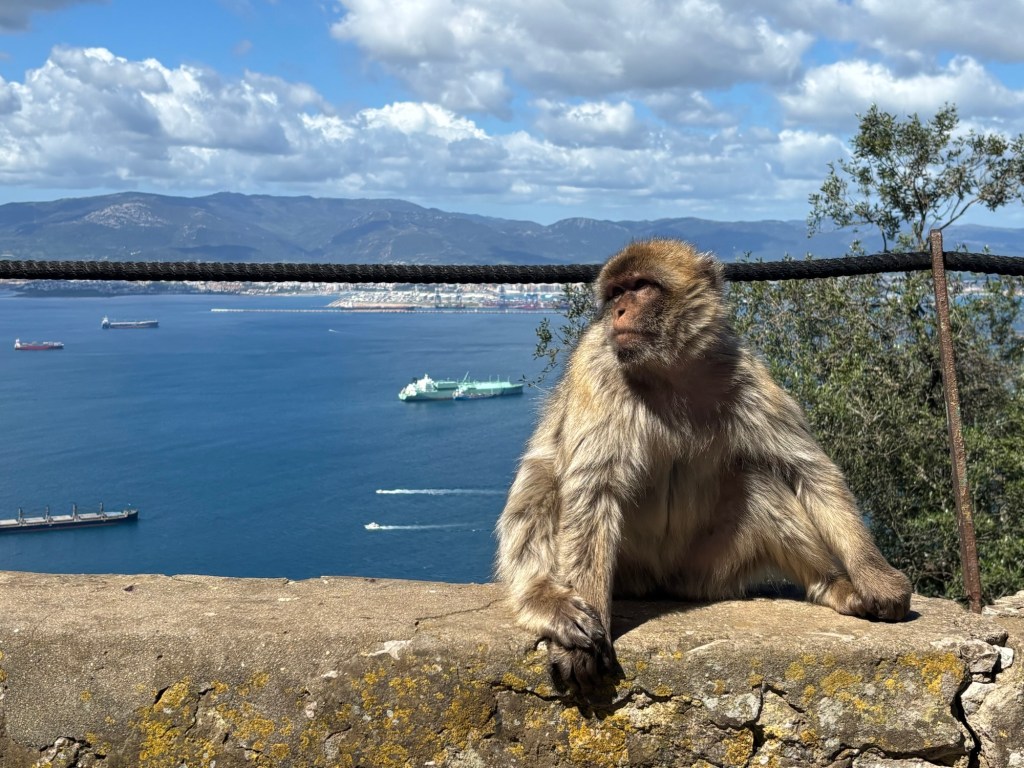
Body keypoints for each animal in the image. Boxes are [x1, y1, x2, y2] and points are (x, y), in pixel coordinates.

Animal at [496, 239, 912, 693]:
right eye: (616, 292)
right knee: (540, 481)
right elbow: (593, 490)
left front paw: (874, 577)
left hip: (707, 570)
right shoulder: (598, 365)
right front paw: (575, 643)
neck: (668, 370)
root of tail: (660, 582)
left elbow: (808, 469)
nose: (618, 311)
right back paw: (544, 598)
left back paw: (831, 587)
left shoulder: (742, 370)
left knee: (761, 481)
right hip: (629, 570)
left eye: (640, 287)